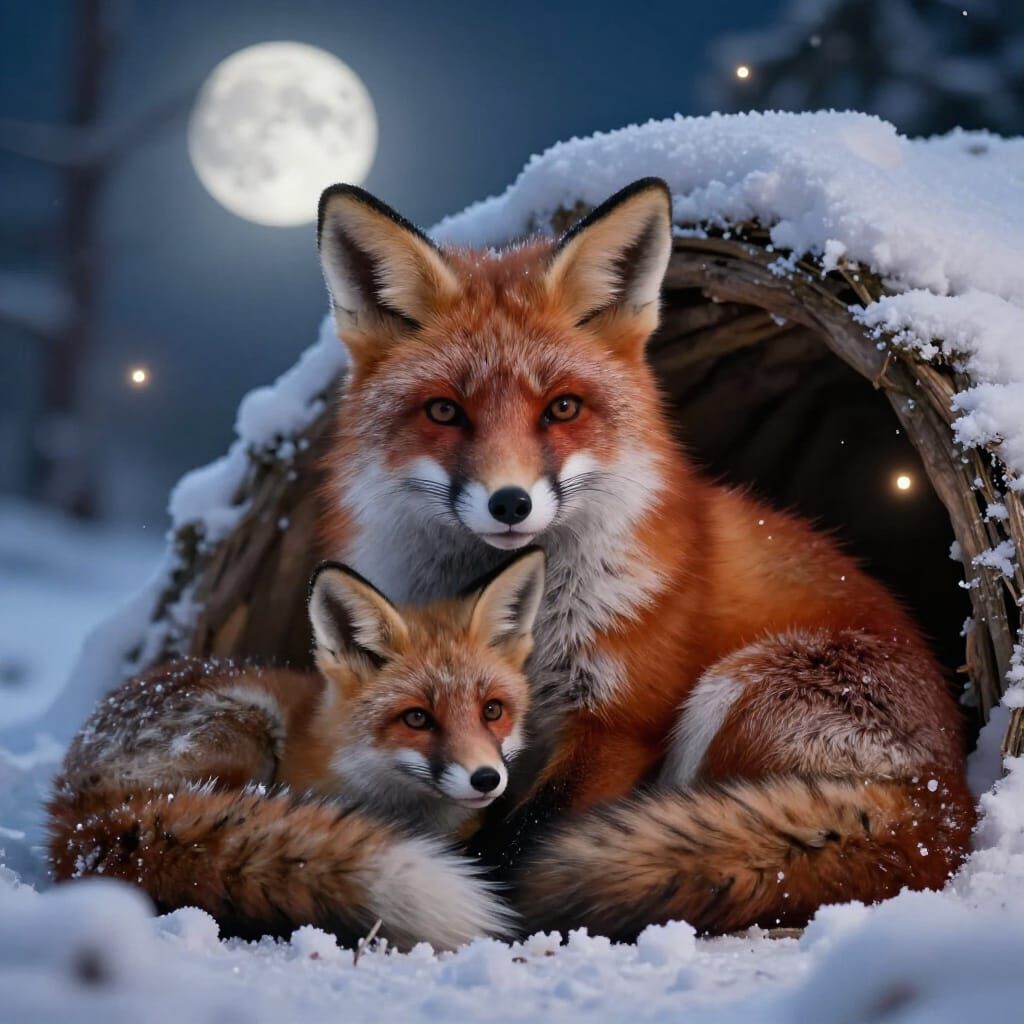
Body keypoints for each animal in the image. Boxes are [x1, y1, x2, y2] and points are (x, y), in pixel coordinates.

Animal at [313, 177, 976, 935]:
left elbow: (525, 834)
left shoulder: (618, 722)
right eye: (445, 412)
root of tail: (948, 806)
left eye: (562, 408)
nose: (510, 502)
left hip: (737, 689)